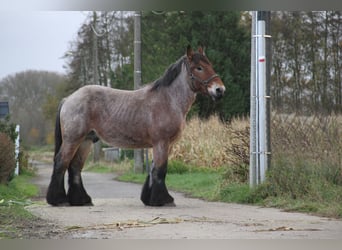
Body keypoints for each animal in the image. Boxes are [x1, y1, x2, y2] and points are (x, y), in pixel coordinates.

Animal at [46, 45, 226, 207]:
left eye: (210, 64)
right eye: (199, 68)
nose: (220, 90)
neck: (168, 100)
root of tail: (69, 99)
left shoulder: (163, 144)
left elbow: (153, 169)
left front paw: (150, 199)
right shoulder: (161, 142)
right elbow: (161, 170)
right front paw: (163, 200)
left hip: (86, 141)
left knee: (75, 166)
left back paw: (82, 200)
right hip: (73, 139)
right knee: (61, 162)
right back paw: (59, 200)